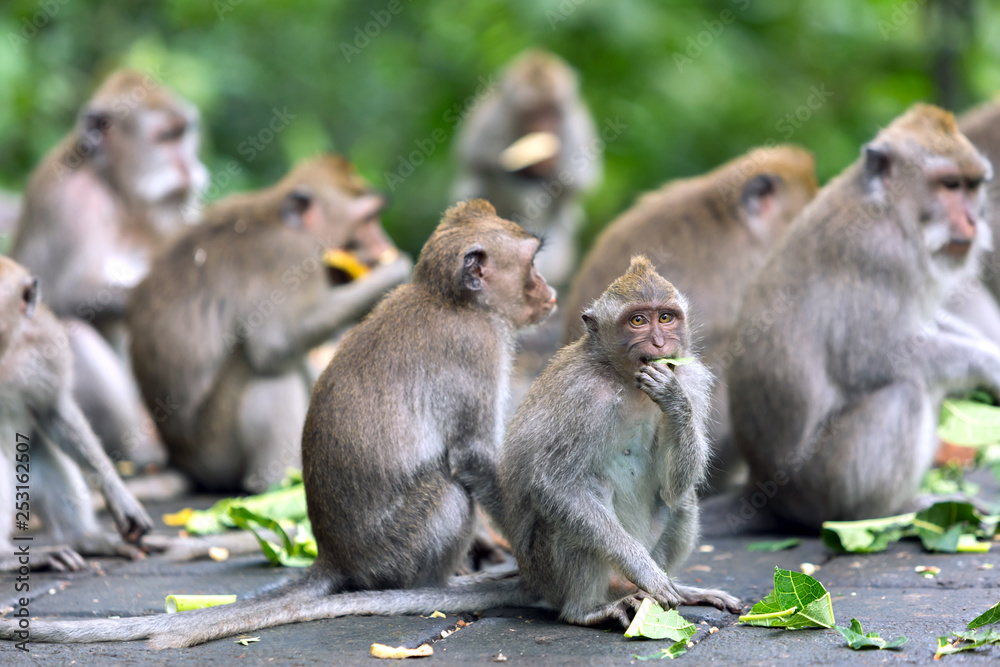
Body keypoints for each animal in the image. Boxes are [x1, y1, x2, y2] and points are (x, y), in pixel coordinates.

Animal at [0, 256, 152, 572]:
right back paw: (6, 556)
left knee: (41, 451)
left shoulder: (45, 340)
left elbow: (56, 411)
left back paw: (84, 539)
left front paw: (119, 497)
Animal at [11, 69, 208, 468]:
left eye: (183, 134)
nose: (186, 169)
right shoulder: (69, 203)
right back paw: (139, 453)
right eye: (165, 137)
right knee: (73, 331)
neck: (118, 189)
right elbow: (58, 295)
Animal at [126, 154, 411, 494]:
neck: (281, 219)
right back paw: (274, 482)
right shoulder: (285, 256)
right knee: (264, 369)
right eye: (367, 220)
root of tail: (182, 462)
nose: (384, 243)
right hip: (215, 450)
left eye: (376, 218)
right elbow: (274, 344)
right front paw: (393, 275)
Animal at [453, 49, 602, 288]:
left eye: (552, 112)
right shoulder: (494, 119)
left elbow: (574, 182)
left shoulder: (574, 128)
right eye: (533, 114)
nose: (544, 128)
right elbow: (477, 161)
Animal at [726, 104, 1000, 530]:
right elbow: (870, 357)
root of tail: (761, 484)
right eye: (950, 185)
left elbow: (925, 322)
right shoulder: (880, 255)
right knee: (905, 393)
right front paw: (992, 365)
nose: (973, 220)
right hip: (828, 480)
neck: (890, 209)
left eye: (973, 187)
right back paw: (889, 512)